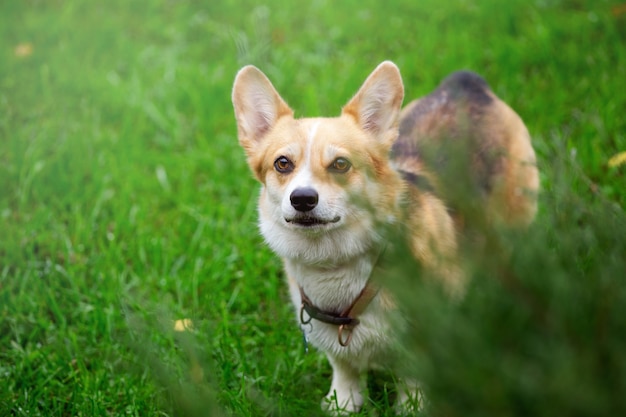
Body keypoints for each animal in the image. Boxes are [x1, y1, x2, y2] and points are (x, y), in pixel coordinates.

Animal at [229, 61, 536, 412]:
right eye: (282, 164)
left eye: (340, 164)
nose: (303, 199)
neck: (337, 266)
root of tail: (467, 81)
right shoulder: (333, 344)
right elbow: (344, 368)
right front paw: (342, 402)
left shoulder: (422, 340)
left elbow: (413, 382)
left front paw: (411, 408)